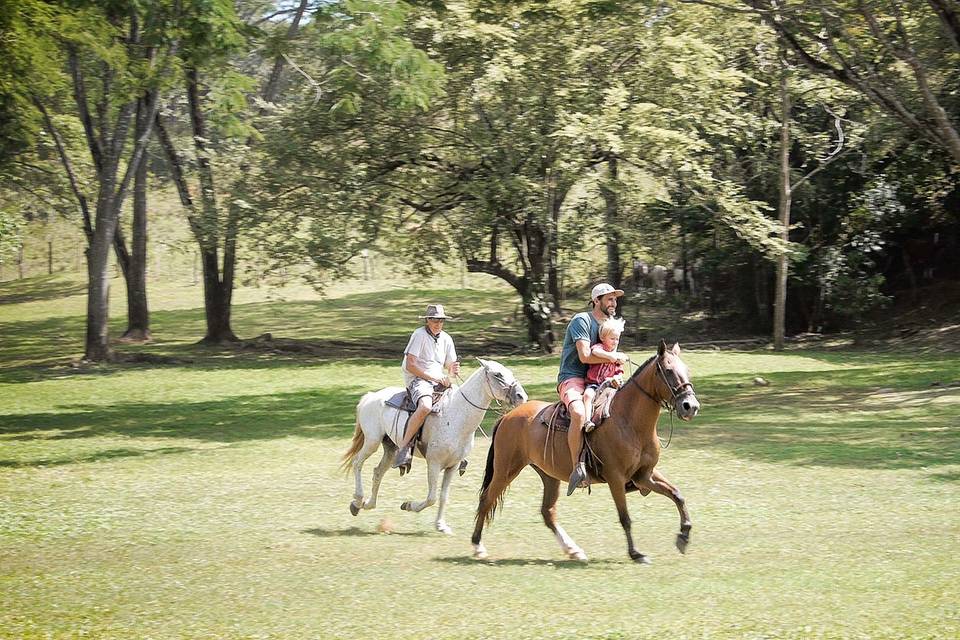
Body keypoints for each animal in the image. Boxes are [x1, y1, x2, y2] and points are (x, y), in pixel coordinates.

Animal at [342, 360, 528, 536]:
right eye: (498, 374)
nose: (521, 396)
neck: (457, 414)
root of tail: (370, 397)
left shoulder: (453, 465)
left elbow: (443, 496)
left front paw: (441, 525)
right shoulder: (434, 463)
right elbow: (431, 497)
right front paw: (408, 505)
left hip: (391, 449)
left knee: (377, 472)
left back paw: (365, 504)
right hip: (372, 441)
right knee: (357, 463)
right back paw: (358, 499)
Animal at [470, 340, 696, 560]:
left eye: (686, 369)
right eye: (668, 370)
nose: (690, 406)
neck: (629, 422)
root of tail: (507, 416)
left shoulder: (644, 475)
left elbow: (677, 494)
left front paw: (684, 535)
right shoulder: (616, 478)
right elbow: (625, 517)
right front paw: (635, 553)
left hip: (548, 475)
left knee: (547, 512)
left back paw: (573, 550)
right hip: (506, 470)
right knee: (486, 499)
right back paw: (477, 545)